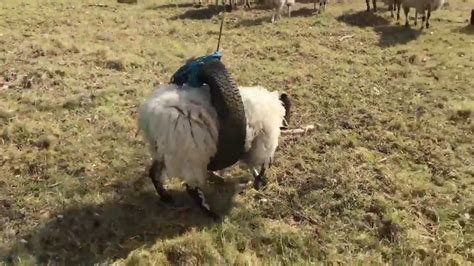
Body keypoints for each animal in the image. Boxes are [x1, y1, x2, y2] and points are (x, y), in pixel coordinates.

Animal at [137, 84, 288, 219]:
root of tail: (149, 116)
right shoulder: (260, 143)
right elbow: (257, 164)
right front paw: (259, 180)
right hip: (191, 155)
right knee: (191, 188)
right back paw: (210, 213)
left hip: (161, 151)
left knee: (153, 172)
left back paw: (165, 197)